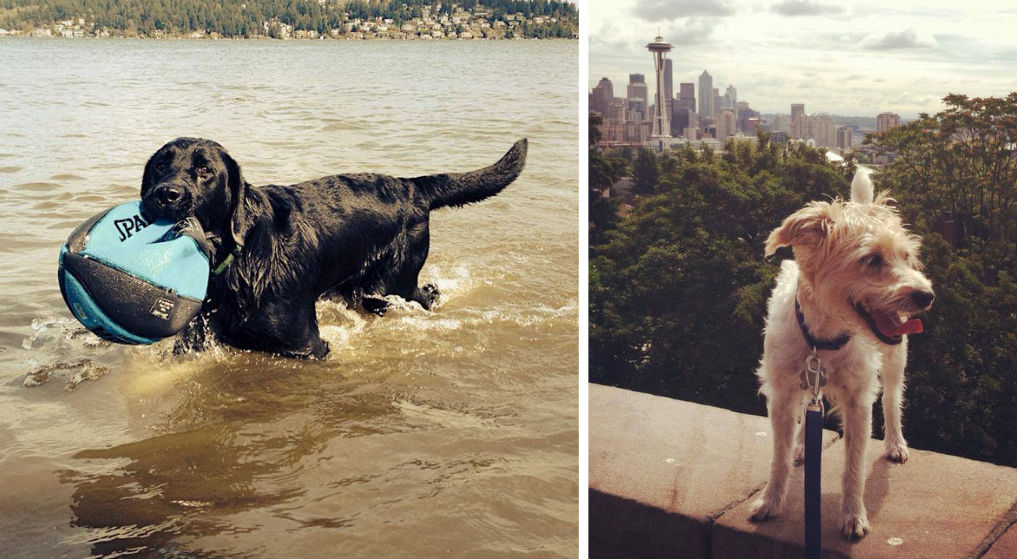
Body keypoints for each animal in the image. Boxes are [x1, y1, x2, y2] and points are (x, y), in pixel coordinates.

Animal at [141, 139, 524, 359]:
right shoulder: (196, 338)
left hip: (390, 285)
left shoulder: (305, 346)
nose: (165, 194)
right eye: (160, 165)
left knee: (425, 294)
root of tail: (412, 186)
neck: (239, 260)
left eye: (205, 170)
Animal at [752, 169, 931, 540]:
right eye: (872, 259)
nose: (927, 295)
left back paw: (895, 443)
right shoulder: (781, 393)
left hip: (895, 361)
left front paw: (852, 516)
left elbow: (854, 464)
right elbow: (778, 455)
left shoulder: (858, 401)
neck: (823, 340)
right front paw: (771, 501)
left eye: (907, 257)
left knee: (892, 399)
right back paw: (802, 446)